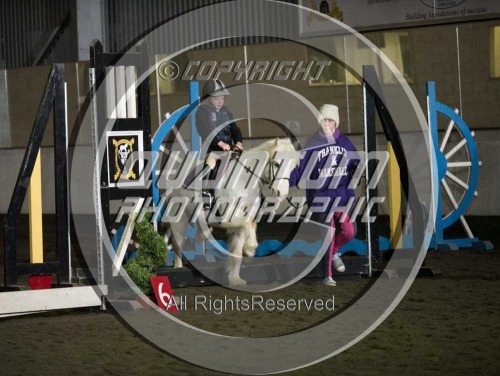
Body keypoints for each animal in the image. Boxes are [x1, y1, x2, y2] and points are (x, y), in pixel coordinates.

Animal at [164, 138, 298, 284]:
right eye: (276, 164)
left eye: (292, 168)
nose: (282, 194)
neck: (243, 179)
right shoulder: (228, 216)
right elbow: (249, 223)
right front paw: (250, 249)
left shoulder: (241, 222)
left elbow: (238, 251)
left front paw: (235, 279)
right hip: (179, 218)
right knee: (178, 244)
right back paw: (178, 268)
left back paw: (203, 234)